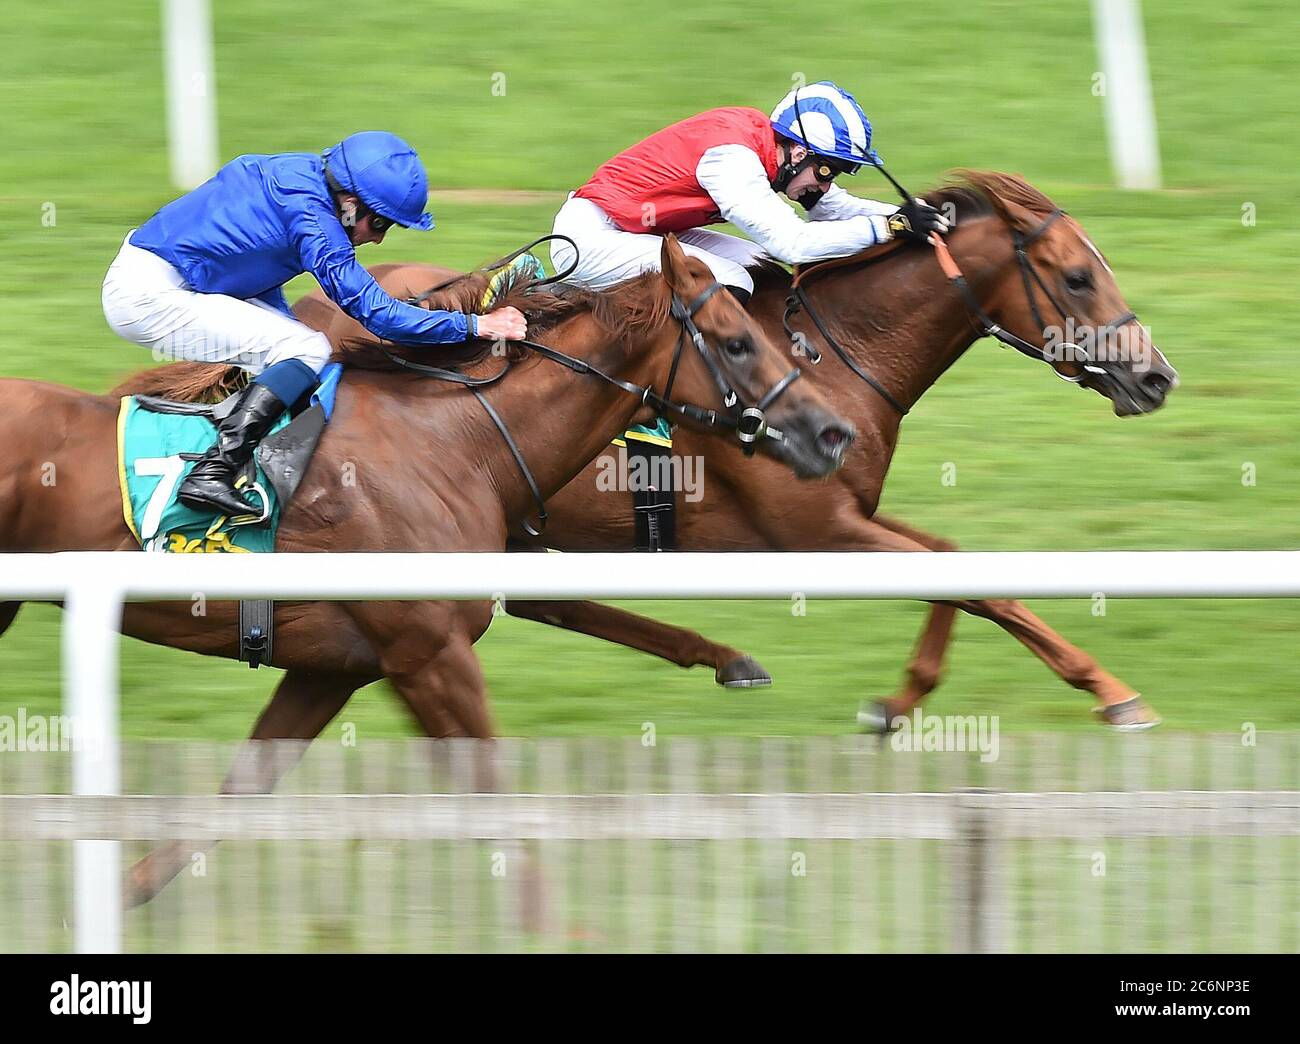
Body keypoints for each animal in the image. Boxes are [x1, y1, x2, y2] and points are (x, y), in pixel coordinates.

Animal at [0, 236, 852, 904]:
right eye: (736, 342)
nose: (833, 433)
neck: (458, 440)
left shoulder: (334, 667)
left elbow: (239, 791)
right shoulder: (430, 655)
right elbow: (498, 807)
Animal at [248, 169, 1185, 728]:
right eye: (1076, 277)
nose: (1157, 377)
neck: (830, 353)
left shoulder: (849, 516)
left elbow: (957, 564)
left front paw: (897, 701)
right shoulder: (815, 532)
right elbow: (976, 584)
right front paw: (1113, 693)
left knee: (546, 602)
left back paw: (724, 659)